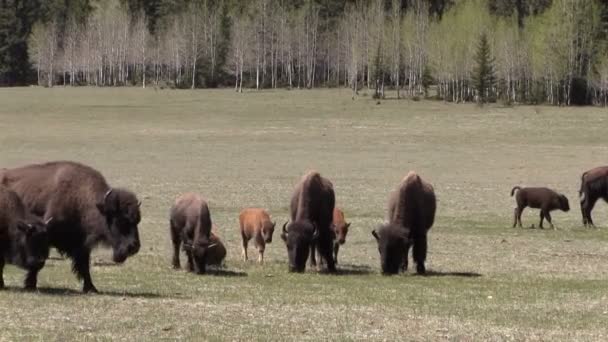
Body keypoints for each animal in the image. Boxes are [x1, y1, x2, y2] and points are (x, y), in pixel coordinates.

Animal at [0, 162, 140, 292]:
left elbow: (84, 266)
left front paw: (91, 288)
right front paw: (30, 285)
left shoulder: (81, 244)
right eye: (120, 220)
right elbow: (39, 262)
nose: (133, 247)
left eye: (137, 220)